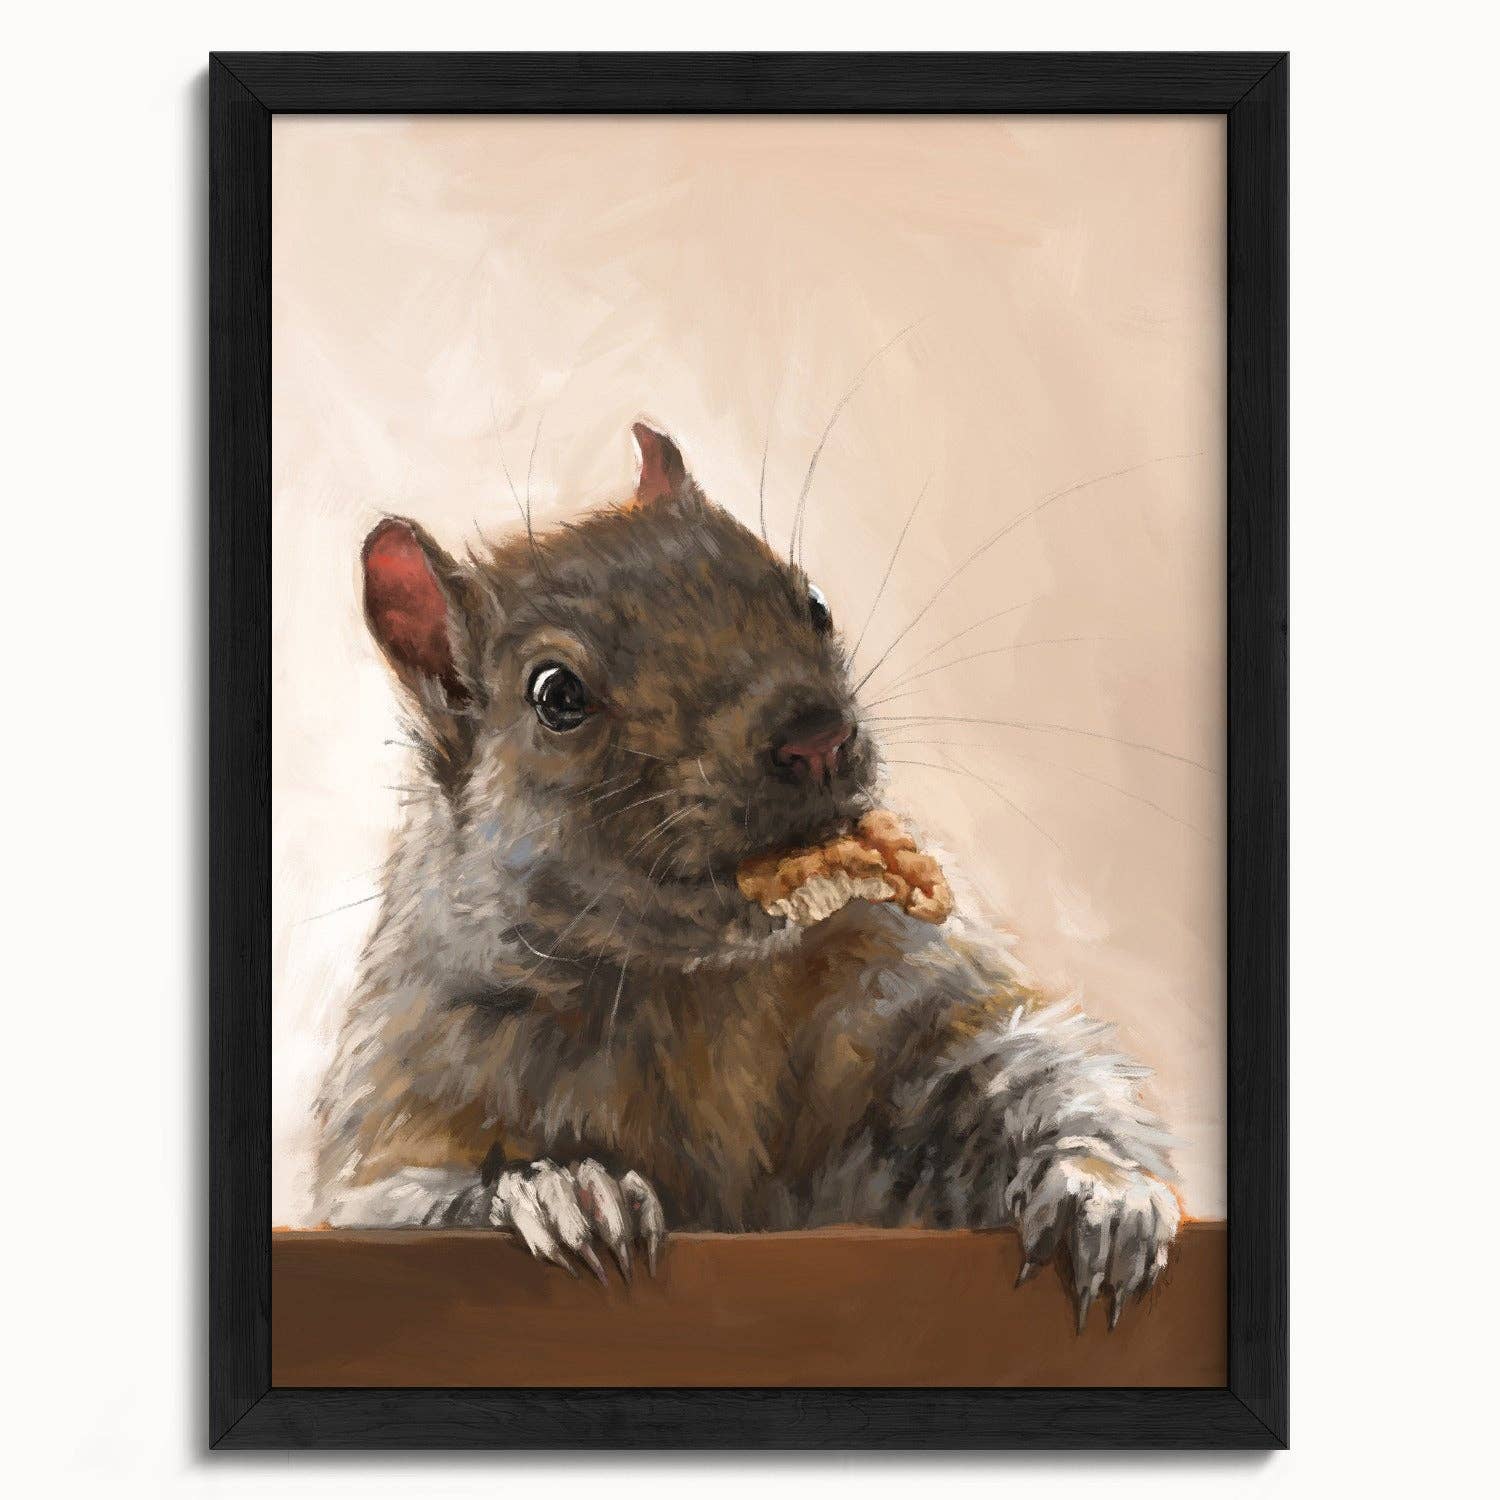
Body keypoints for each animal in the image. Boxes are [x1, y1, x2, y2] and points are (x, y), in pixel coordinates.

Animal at [315, 422, 1180, 1331]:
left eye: (815, 603)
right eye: (556, 694)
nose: (817, 735)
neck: (700, 984)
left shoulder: (901, 989)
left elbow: (1023, 1061)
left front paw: (1101, 1190)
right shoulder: (407, 1093)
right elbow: (393, 1199)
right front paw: (561, 1190)